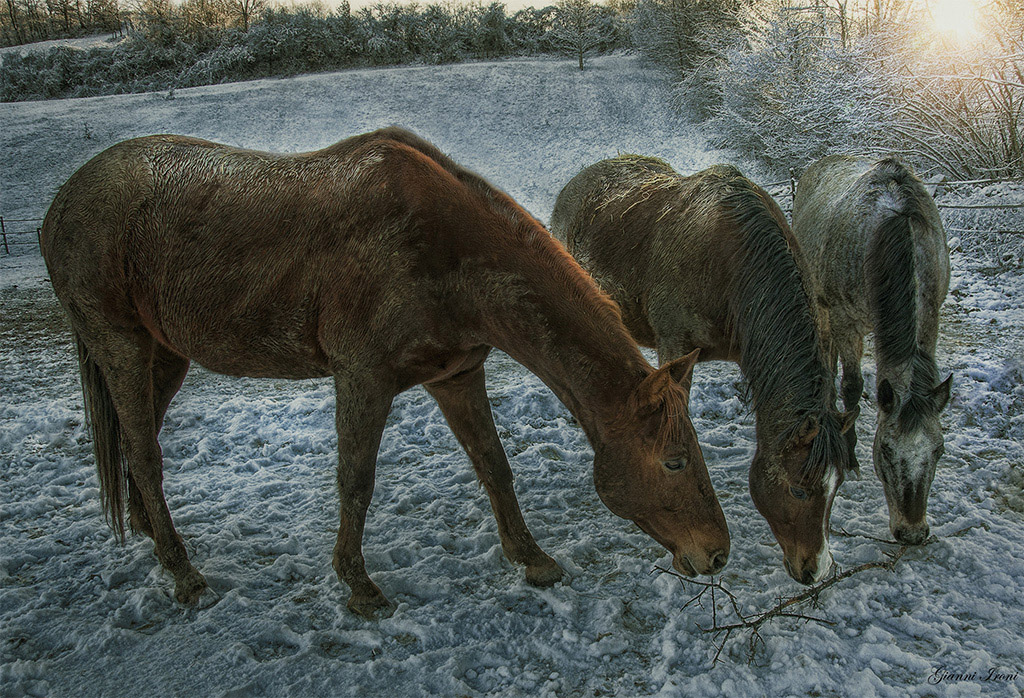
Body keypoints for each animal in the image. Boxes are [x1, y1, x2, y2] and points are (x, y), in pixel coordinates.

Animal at [39, 124, 729, 614]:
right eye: (674, 461)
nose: (717, 554)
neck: (439, 250)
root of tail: (62, 201)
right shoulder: (362, 378)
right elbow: (356, 480)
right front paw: (358, 585)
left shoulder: (455, 376)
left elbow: (494, 466)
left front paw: (531, 557)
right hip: (123, 346)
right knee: (145, 454)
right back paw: (184, 573)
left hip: (165, 354)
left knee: (139, 446)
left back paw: (155, 543)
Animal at [552, 156, 856, 581]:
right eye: (798, 489)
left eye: (837, 486)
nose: (817, 569)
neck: (728, 263)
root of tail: (578, 182)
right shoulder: (676, 346)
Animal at [790, 153, 950, 544]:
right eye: (886, 451)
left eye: (939, 449)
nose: (912, 532)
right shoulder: (845, 319)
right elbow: (852, 386)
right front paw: (849, 457)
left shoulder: (933, 312)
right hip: (821, 306)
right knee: (827, 361)